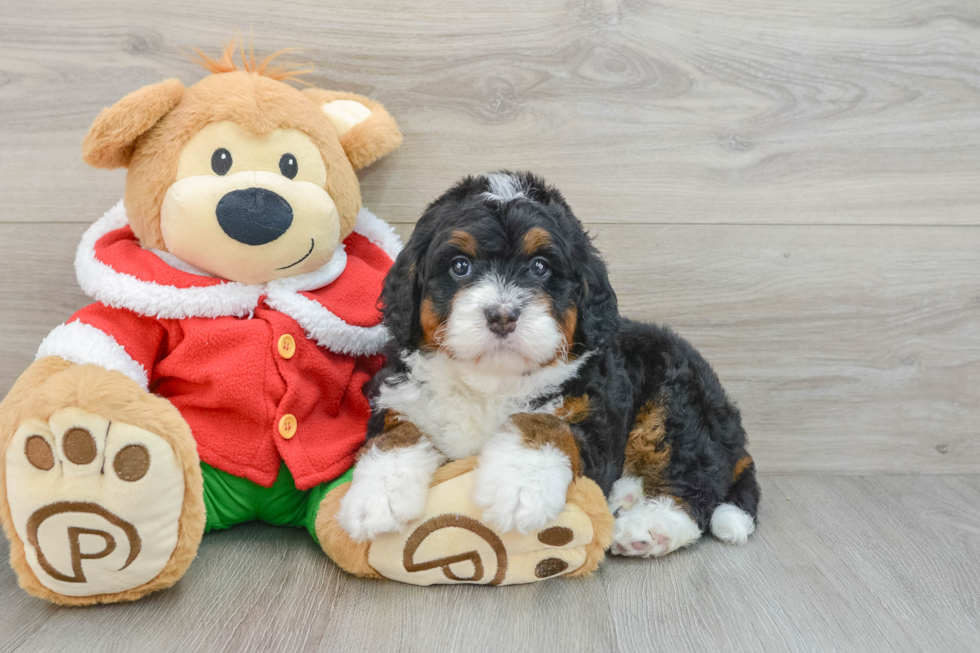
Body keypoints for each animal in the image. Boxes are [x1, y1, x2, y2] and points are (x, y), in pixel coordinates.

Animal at [336, 172, 756, 556]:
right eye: (459, 266)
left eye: (540, 267)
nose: (502, 315)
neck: (490, 382)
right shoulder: (400, 392)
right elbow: (398, 431)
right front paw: (378, 495)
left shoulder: (593, 414)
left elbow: (547, 423)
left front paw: (520, 483)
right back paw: (628, 495)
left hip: (677, 396)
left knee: (695, 480)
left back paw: (650, 527)